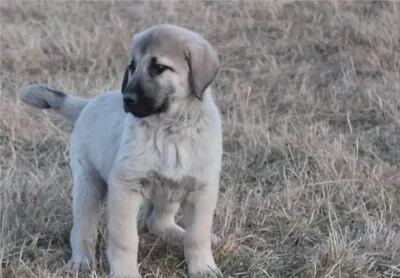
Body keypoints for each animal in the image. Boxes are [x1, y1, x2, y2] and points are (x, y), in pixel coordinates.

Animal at [18, 24, 223, 278]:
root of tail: (89, 103)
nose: (127, 98)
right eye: (132, 67)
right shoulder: (125, 187)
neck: (170, 130)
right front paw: (126, 272)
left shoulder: (201, 189)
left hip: (171, 190)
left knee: (158, 222)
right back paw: (82, 260)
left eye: (159, 68)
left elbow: (197, 236)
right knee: (83, 229)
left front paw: (204, 267)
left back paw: (179, 234)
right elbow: (125, 240)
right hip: (88, 184)